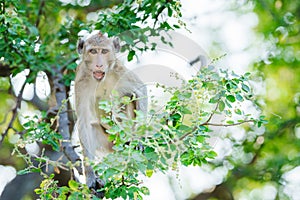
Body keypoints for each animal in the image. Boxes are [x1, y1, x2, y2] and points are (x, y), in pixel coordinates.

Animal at [73, 31, 147, 192]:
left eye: (104, 51)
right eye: (93, 51)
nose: (99, 64)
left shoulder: (120, 70)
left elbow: (140, 91)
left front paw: (138, 139)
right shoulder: (81, 81)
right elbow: (84, 121)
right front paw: (90, 176)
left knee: (127, 97)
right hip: (108, 143)